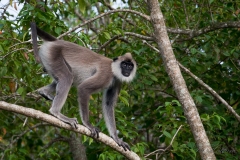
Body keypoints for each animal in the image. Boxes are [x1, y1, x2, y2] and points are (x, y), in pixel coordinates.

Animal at [30, 21, 137, 151]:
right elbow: (83, 88)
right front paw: (88, 125)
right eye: (124, 64)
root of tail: (57, 42)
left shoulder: (117, 81)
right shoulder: (106, 74)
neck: (113, 68)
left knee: (66, 76)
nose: (127, 70)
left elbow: (108, 104)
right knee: (67, 77)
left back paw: (43, 92)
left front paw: (116, 139)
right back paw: (56, 113)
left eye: (130, 66)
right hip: (53, 54)